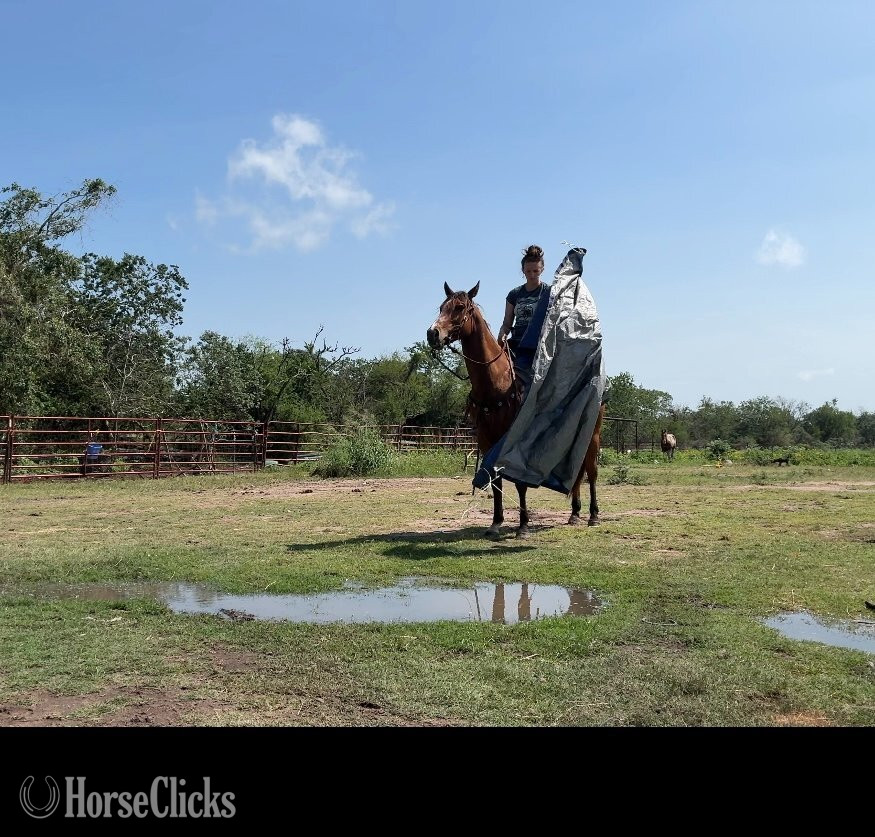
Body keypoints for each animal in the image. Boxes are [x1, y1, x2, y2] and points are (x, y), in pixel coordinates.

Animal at [427, 281, 605, 538]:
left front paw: (523, 525)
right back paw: (574, 513)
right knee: (576, 471)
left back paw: (593, 515)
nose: (432, 334)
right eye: (442, 307)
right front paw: (495, 523)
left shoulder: (516, 438)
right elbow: (495, 480)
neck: (496, 381)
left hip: (593, 434)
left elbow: (520, 483)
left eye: (459, 307)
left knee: (591, 471)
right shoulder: (486, 439)